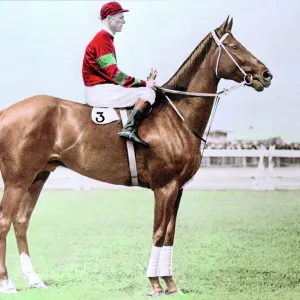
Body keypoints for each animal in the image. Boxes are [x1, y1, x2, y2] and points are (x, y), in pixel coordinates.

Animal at [0, 17, 272, 296]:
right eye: (235, 46)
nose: (266, 74)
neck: (176, 116)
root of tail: (6, 112)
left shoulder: (178, 189)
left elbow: (170, 234)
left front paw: (171, 283)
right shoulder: (164, 188)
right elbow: (158, 233)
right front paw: (155, 283)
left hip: (38, 176)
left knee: (21, 222)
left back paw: (34, 279)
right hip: (17, 180)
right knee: (4, 222)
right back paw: (7, 283)